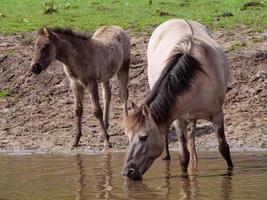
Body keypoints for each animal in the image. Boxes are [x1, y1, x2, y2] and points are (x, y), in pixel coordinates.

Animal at [122, 19, 233, 181]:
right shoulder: (178, 120)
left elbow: (223, 148)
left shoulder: (217, 114)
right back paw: (167, 156)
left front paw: (230, 172)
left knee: (192, 134)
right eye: (128, 137)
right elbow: (183, 156)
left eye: (143, 137)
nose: (127, 172)